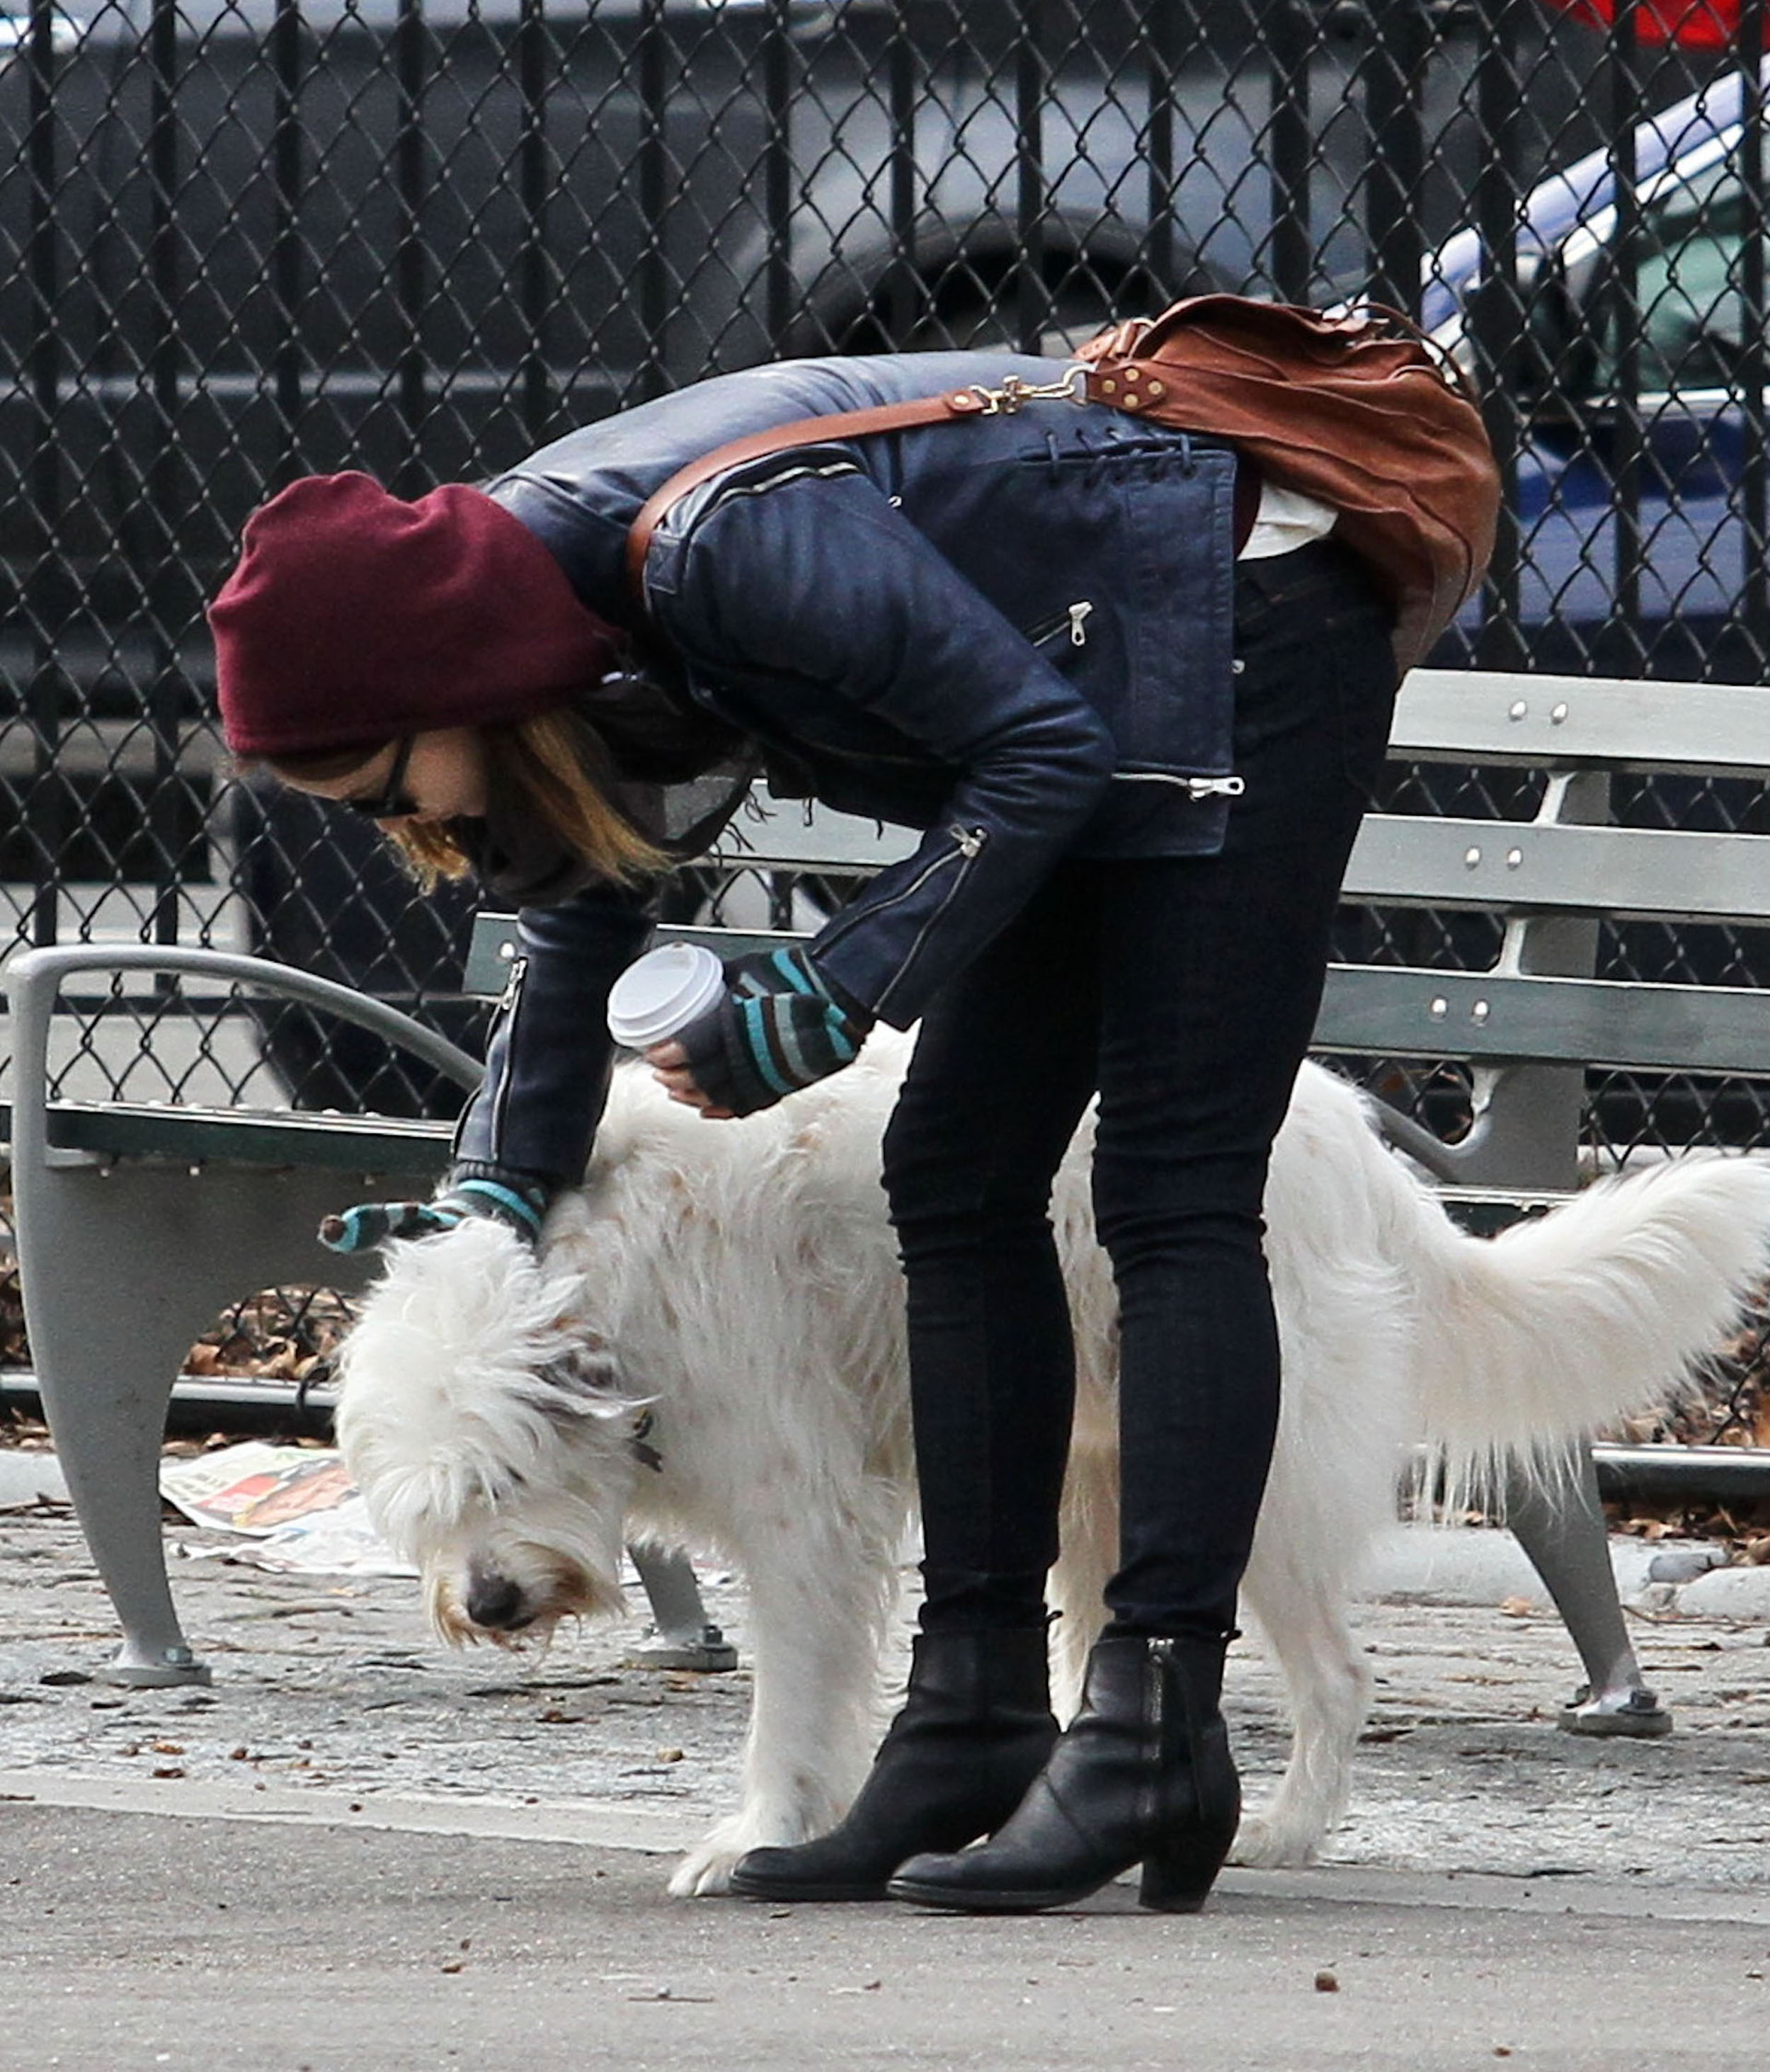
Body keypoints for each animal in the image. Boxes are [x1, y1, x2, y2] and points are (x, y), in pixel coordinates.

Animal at [331, 1036, 1770, 1898]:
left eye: (503, 1475)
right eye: (428, 1512)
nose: (487, 1604)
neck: (605, 1265)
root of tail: (1357, 1149)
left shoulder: (807, 1517)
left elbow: (789, 1703)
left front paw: (760, 1836)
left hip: (1258, 1487)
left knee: (1336, 1673)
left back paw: (1284, 1829)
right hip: (1094, 1480)